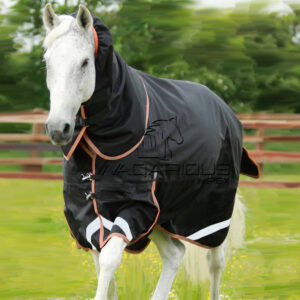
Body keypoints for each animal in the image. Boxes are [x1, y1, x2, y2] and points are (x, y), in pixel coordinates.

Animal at [42, 4, 260, 300]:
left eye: (85, 62)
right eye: (47, 62)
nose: (58, 128)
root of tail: (226, 110)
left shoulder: (137, 206)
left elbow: (109, 259)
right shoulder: (87, 215)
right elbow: (104, 268)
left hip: (210, 215)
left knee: (215, 261)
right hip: (161, 217)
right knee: (174, 252)